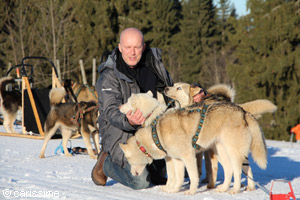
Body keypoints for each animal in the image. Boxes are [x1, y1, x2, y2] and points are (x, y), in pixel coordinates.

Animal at [119, 91, 268, 195]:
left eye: (127, 102)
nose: (120, 106)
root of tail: (243, 112)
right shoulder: (175, 158)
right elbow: (176, 177)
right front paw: (172, 189)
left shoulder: (187, 157)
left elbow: (192, 176)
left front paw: (191, 191)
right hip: (220, 152)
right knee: (231, 169)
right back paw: (229, 188)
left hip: (232, 152)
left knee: (237, 171)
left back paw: (235, 189)